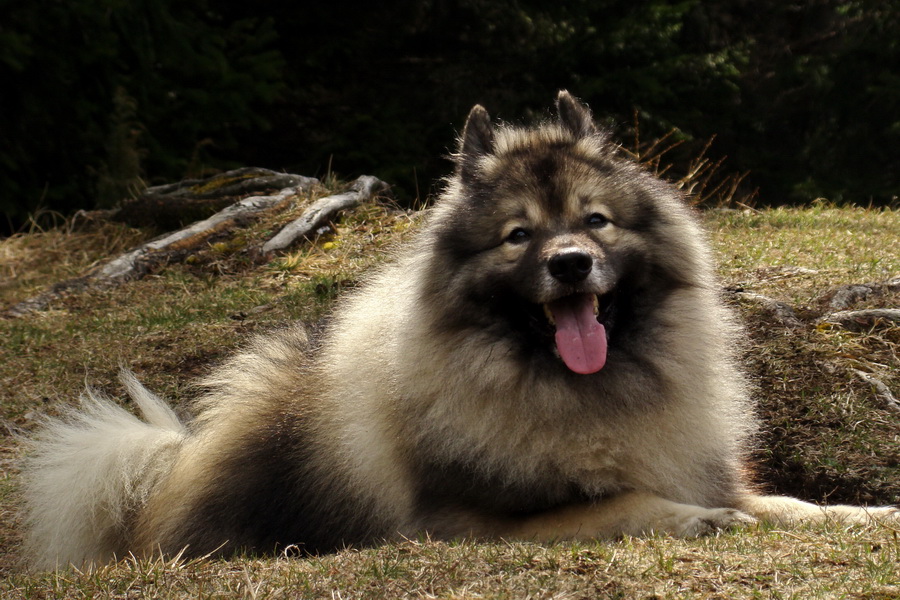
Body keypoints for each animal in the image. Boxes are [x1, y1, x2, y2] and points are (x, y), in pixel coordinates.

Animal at [22, 91, 900, 568]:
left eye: (596, 221)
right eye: (518, 236)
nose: (570, 265)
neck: (582, 392)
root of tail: (177, 460)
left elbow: (791, 504)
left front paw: (866, 515)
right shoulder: (453, 523)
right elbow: (612, 505)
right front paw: (693, 519)